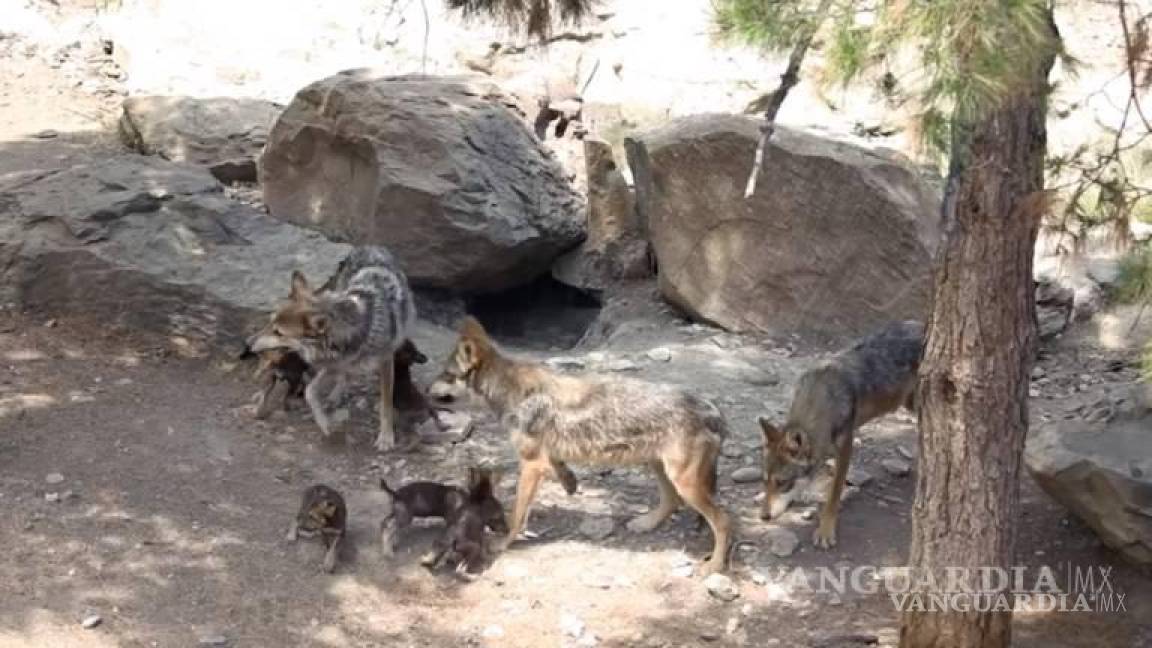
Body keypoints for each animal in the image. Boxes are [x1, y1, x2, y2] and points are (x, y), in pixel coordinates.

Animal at [245, 244, 417, 451]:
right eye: (270, 323)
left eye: (279, 332)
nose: (248, 342)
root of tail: (368, 247)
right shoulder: (334, 362)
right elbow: (310, 392)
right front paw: (325, 424)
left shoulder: (385, 362)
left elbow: (386, 404)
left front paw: (386, 437)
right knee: (343, 377)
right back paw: (334, 396)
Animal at [428, 315, 732, 571]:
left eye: (445, 374)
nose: (426, 390)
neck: (509, 388)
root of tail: (713, 410)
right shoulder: (542, 459)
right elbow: (559, 468)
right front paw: (570, 483)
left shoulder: (530, 464)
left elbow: (516, 514)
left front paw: (503, 543)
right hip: (660, 467)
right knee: (671, 501)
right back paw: (644, 524)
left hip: (684, 481)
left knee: (722, 520)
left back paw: (715, 565)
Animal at [755, 315, 926, 544]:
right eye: (765, 481)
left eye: (782, 482)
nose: (763, 517)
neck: (822, 401)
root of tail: (924, 325)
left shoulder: (846, 447)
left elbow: (834, 493)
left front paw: (826, 530)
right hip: (909, 404)